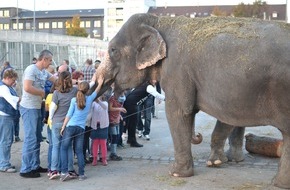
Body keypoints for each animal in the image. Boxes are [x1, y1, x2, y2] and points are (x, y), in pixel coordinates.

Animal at [93, 13, 290, 189]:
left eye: (113, 50)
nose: (198, 135)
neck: (160, 21)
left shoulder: (176, 69)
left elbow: (178, 112)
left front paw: (177, 173)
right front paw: (219, 162)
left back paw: (277, 183)